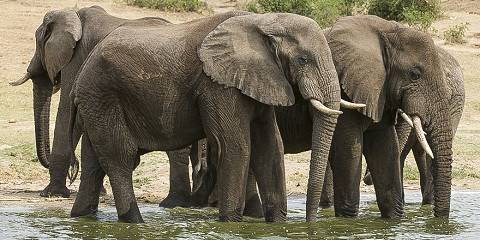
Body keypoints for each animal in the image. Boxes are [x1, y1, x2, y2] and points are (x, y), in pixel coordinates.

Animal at [69, 10, 344, 222]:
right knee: (120, 158)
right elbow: (237, 146)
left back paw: (81, 218)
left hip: (95, 103)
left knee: (94, 163)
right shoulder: (218, 85)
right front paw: (230, 223)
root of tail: (81, 71)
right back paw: (134, 222)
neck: (263, 21)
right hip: (102, 95)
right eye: (303, 59)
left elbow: (270, 146)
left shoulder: (258, 79)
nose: (311, 224)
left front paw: (277, 225)